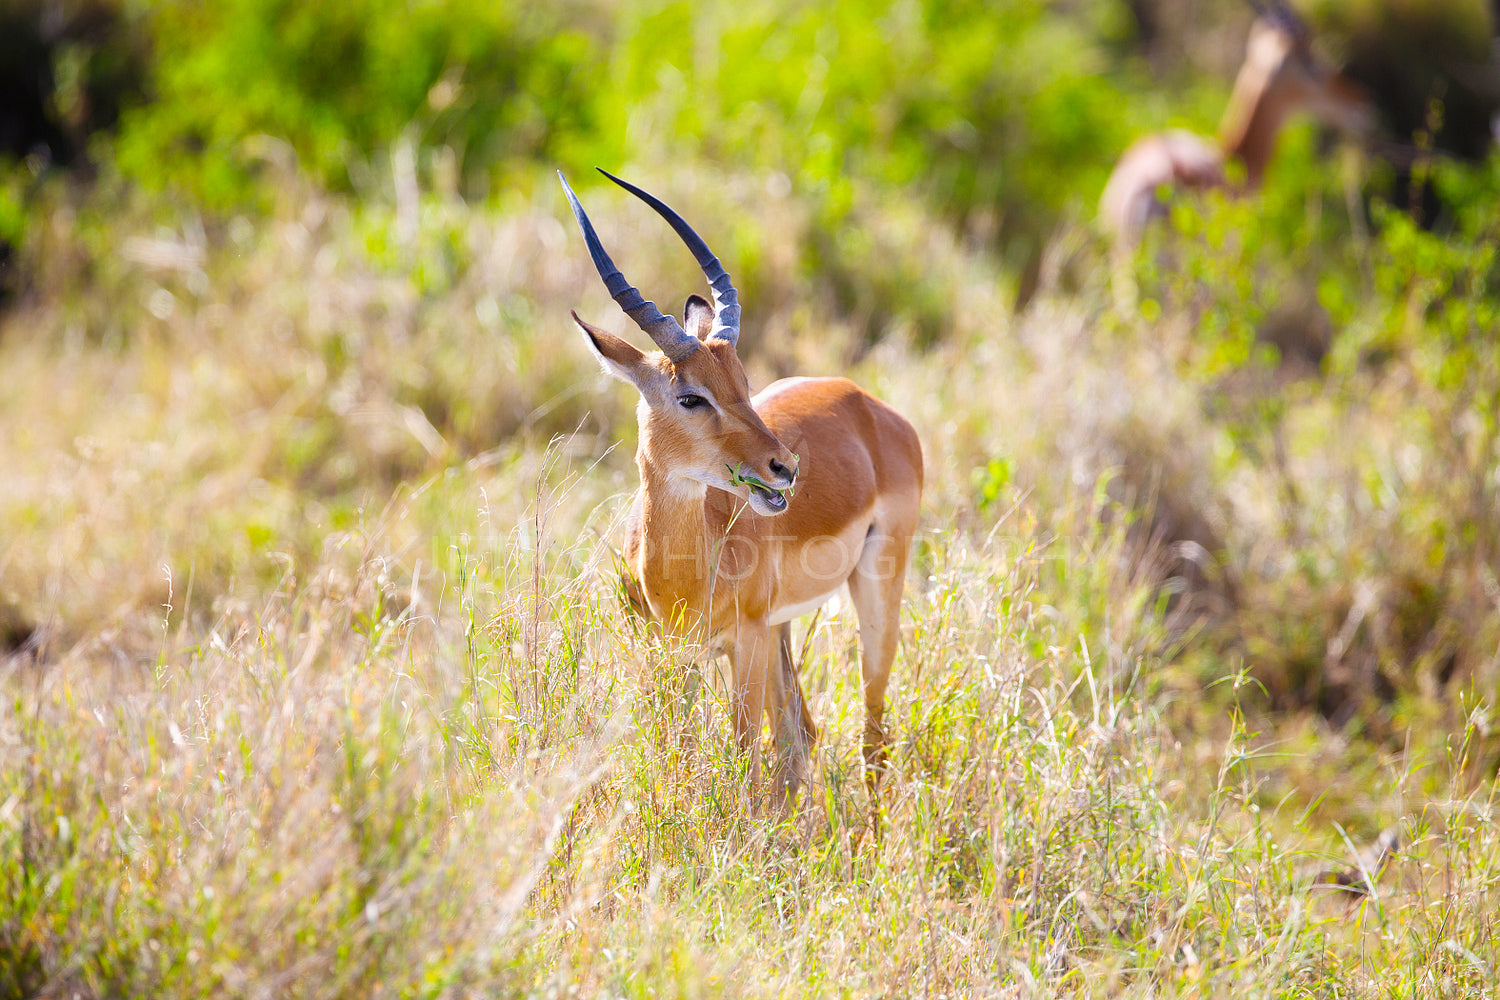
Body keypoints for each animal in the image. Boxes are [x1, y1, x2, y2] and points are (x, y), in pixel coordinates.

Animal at [561, 167, 918, 803]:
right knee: (802, 733)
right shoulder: (670, 653)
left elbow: (746, 759)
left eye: (744, 382)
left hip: (872, 594)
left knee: (870, 736)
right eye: (690, 397)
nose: (785, 468)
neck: (681, 569)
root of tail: (864, 400)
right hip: (780, 629)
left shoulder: (743, 641)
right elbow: (681, 755)